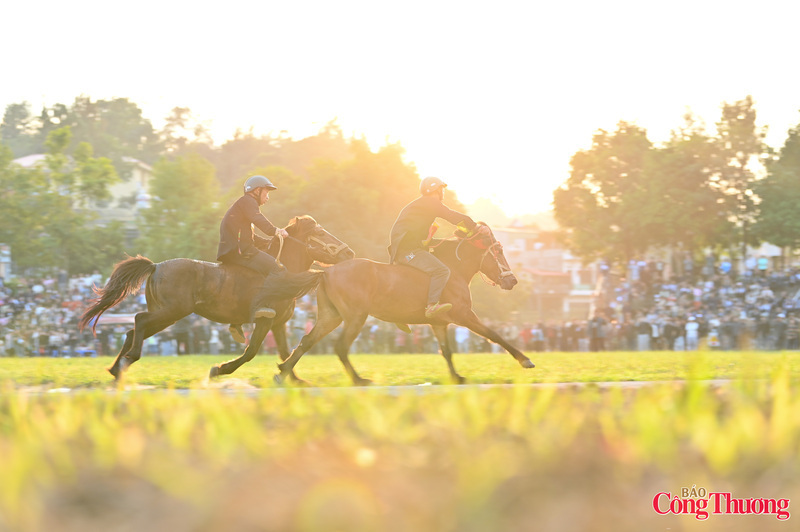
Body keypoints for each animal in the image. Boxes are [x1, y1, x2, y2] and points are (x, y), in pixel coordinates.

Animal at [78, 215, 354, 381]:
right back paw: (128, 360)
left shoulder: (278, 324)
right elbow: (251, 351)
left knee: (131, 330)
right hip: (172, 312)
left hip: (166, 314)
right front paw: (220, 369)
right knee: (138, 321)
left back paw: (116, 368)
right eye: (321, 233)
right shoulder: (264, 320)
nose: (350, 253)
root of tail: (156, 266)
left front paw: (291, 378)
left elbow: (286, 350)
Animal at [274, 223, 535, 385]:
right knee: (340, 347)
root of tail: (327, 272)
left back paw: (285, 372)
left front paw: (456, 376)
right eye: (498, 251)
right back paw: (358, 379)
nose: (512, 280)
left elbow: (446, 351)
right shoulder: (464, 315)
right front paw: (524, 359)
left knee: (307, 341)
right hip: (355, 317)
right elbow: (495, 335)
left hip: (331, 317)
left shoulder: (439, 323)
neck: (454, 269)